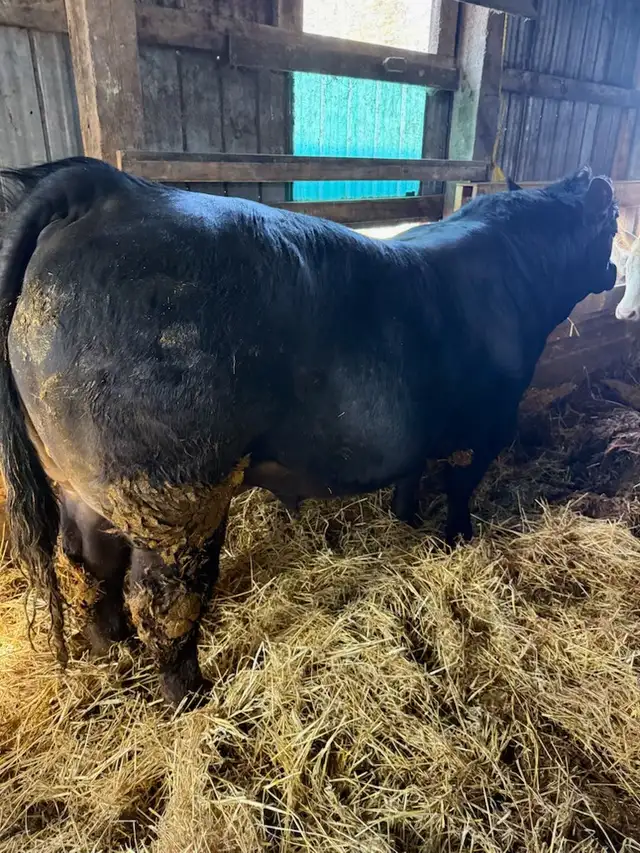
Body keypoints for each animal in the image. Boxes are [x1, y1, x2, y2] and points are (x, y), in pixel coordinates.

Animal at [0, 158, 618, 705]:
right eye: (612, 223)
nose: (613, 271)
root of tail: (110, 191)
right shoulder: (490, 420)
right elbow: (461, 487)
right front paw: (457, 539)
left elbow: (412, 475)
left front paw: (408, 520)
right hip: (174, 490)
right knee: (162, 598)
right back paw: (192, 695)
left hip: (75, 481)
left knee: (84, 564)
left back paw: (110, 647)